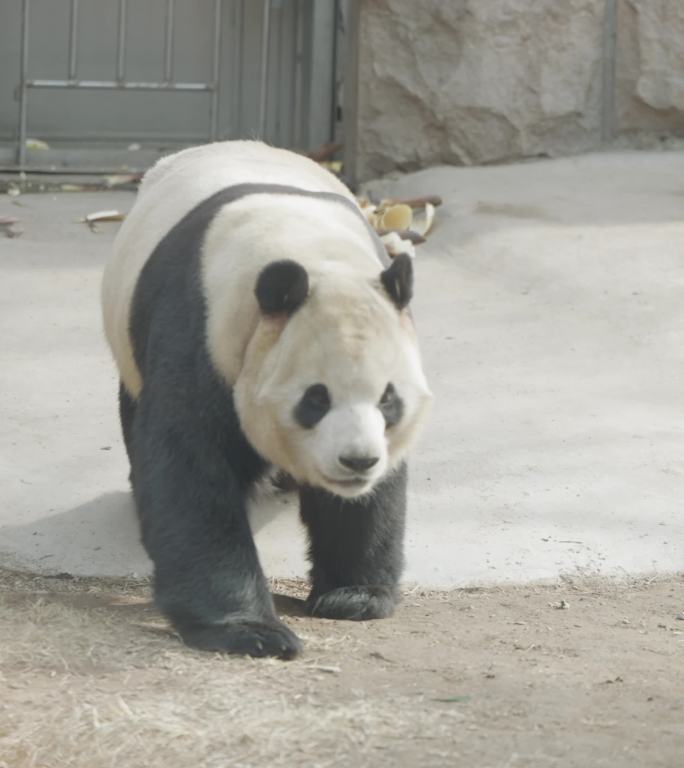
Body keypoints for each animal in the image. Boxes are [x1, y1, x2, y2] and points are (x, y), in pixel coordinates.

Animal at [101, 141, 430, 656]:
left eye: (388, 400)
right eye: (315, 399)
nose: (357, 462)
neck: (312, 255)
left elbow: (374, 497)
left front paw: (354, 595)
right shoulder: (202, 330)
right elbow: (189, 464)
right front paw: (248, 630)